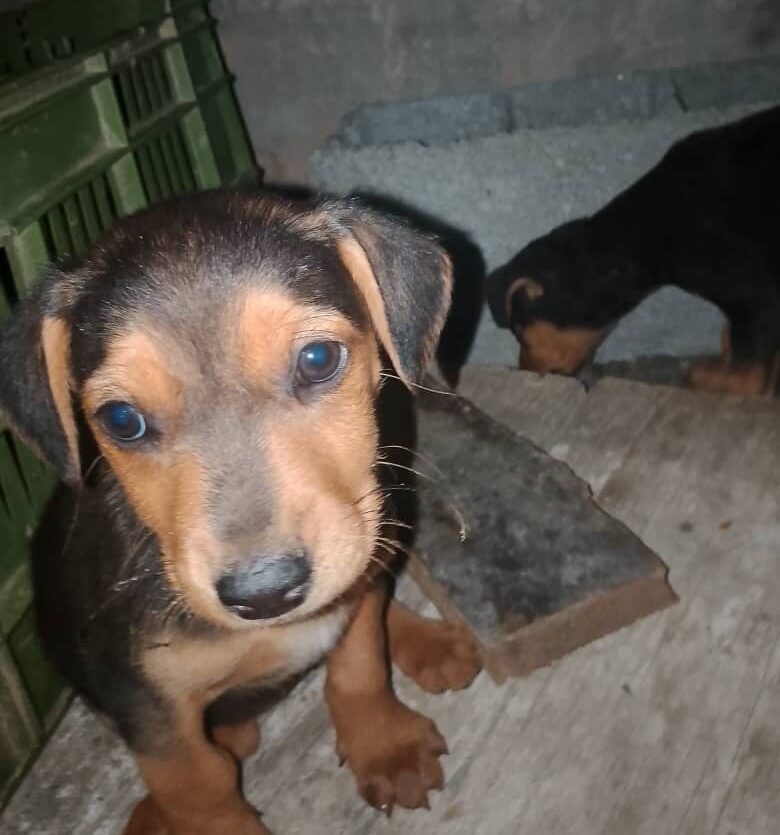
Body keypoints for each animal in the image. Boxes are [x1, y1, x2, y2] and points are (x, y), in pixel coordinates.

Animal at [0, 190, 481, 835]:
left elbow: (358, 668)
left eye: (318, 358)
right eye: (121, 420)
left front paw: (385, 745)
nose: (265, 593)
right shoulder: (148, 709)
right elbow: (201, 788)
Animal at [486, 104, 780, 396]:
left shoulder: (752, 294)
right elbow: (733, 337)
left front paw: (720, 383)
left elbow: (745, 369)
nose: (524, 371)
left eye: (520, 332)